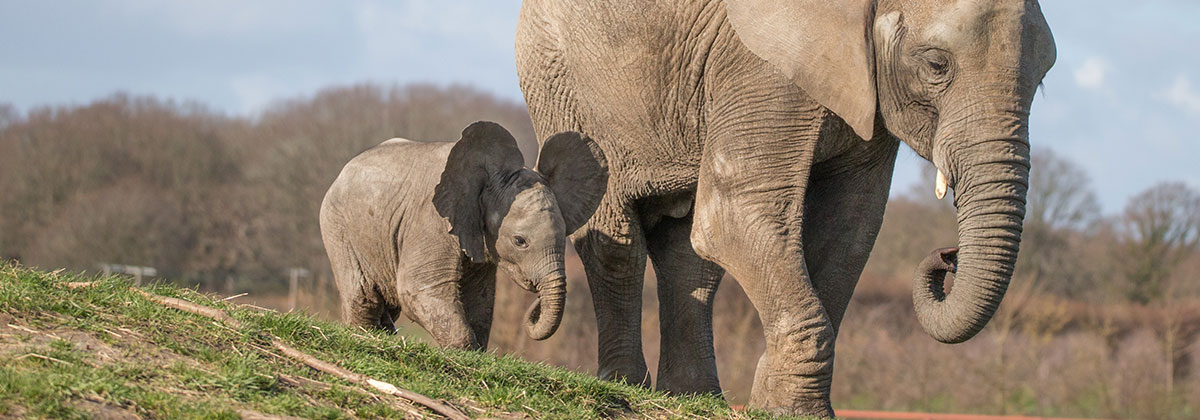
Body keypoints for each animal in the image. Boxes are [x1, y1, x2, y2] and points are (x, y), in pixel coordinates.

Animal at [319, 121, 608, 350]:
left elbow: (479, 300)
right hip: (336, 225)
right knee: (363, 296)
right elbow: (418, 289)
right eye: (520, 241)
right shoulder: (430, 222)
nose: (534, 305)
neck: (489, 180)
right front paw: (464, 351)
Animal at [515, 0, 1055, 416]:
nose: (946, 256)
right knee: (618, 243)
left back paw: (696, 398)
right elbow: (733, 214)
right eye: (937, 65)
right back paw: (624, 385)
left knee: (688, 257)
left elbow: (849, 230)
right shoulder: (761, 67)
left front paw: (778, 406)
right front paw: (790, 410)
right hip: (559, 79)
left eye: (1042, 81)